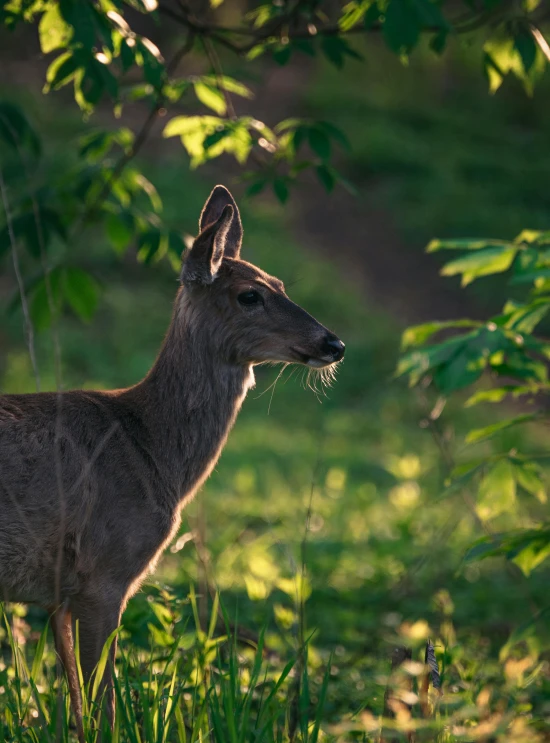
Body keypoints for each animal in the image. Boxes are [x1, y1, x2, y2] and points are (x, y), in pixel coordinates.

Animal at [0, 185, 344, 740]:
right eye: (250, 295)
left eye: (280, 283)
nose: (333, 343)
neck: (151, 447)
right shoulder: (105, 570)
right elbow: (104, 708)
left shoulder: (58, 596)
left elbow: (77, 708)